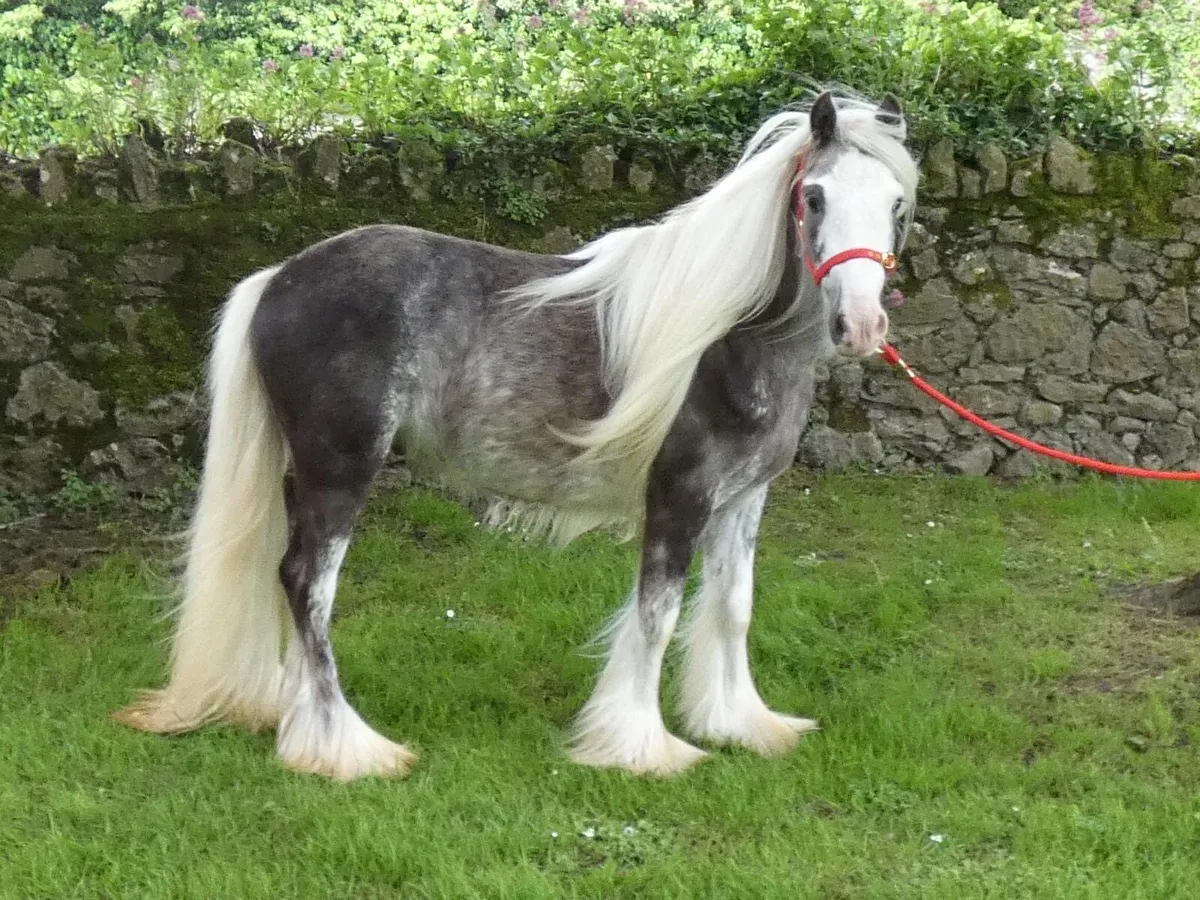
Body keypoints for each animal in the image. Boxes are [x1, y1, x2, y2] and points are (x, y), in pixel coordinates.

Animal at [114, 91, 919, 780]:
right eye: (814, 198)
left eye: (896, 203)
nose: (860, 326)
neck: (722, 338)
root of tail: (279, 277)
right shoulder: (678, 498)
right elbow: (656, 616)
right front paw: (642, 747)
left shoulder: (743, 501)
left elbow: (732, 607)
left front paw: (740, 725)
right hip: (338, 469)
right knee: (308, 584)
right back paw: (346, 748)